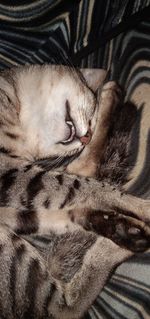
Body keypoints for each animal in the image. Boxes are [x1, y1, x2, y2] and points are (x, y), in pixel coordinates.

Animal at [0, 63, 149, 318]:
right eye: (88, 115)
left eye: (90, 123)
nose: (86, 136)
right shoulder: (12, 175)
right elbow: (90, 187)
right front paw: (141, 206)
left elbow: (85, 174)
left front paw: (108, 101)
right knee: (63, 307)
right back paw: (116, 245)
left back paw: (120, 229)